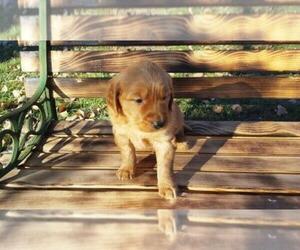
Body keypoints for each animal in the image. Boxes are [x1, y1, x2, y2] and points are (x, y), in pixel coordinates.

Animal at [105, 59, 185, 199]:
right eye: (138, 100)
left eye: (164, 97)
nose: (160, 124)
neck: (134, 125)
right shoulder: (121, 133)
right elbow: (127, 152)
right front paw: (126, 169)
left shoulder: (164, 142)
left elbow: (164, 167)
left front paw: (167, 186)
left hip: (178, 114)